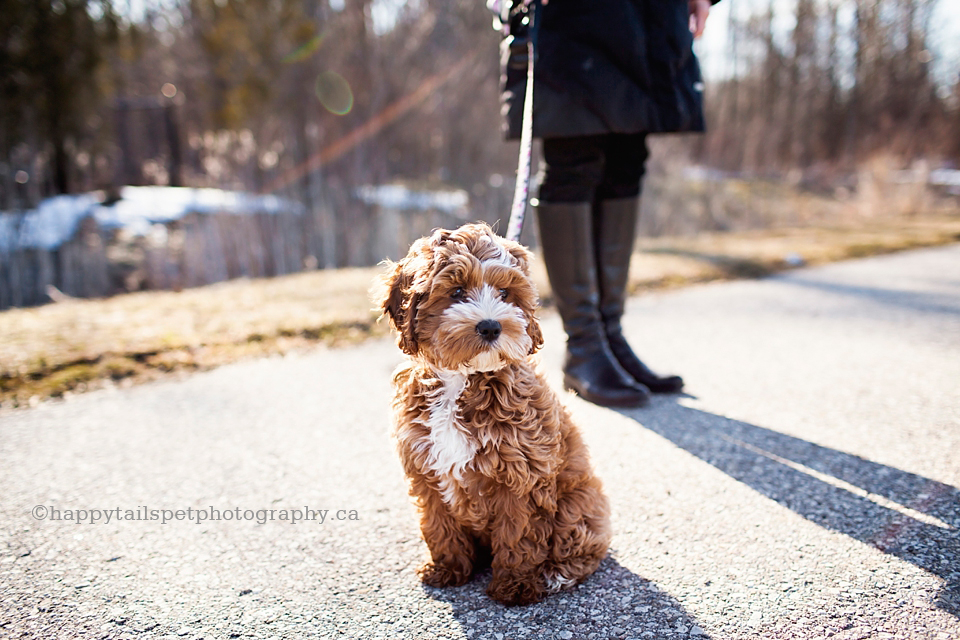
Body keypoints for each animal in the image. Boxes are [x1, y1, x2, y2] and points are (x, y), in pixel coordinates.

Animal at [376, 224, 608, 604]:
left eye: (504, 292)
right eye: (456, 291)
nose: (490, 326)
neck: (461, 379)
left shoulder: (522, 475)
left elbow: (520, 533)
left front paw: (515, 585)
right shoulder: (425, 469)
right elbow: (437, 524)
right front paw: (448, 568)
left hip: (580, 503)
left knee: (583, 546)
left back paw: (555, 573)